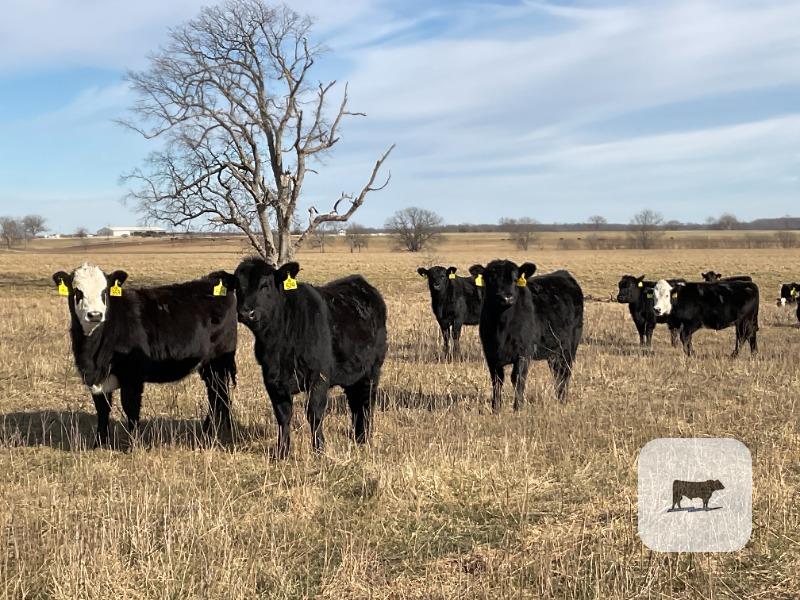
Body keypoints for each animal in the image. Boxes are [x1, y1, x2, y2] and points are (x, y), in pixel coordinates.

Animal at [51, 263, 237, 447]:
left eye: (104, 291)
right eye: (77, 291)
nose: (95, 315)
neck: (93, 354)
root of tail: (215, 277)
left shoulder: (133, 375)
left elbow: (130, 407)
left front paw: (134, 444)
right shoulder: (96, 379)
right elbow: (102, 408)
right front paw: (99, 443)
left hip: (219, 362)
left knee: (220, 394)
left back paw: (217, 430)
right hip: (208, 366)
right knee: (216, 394)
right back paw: (210, 430)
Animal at [212, 258, 387, 459]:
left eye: (265, 285)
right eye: (238, 287)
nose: (246, 313)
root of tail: (360, 283)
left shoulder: (318, 377)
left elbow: (314, 413)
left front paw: (319, 450)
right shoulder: (272, 380)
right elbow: (283, 416)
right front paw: (281, 452)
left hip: (372, 370)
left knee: (367, 403)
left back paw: (365, 438)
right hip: (353, 374)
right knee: (355, 403)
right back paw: (358, 437)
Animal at [469, 260, 583, 411]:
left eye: (515, 279)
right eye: (491, 279)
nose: (506, 297)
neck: (501, 327)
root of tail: (563, 274)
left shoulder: (524, 352)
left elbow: (518, 377)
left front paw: (518, 407)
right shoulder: (490, 353)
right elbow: (497, 379)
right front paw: (496, 408)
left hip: (569, 347)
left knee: (565, 372)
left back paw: (562, 400)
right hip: (553, 352)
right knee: (556, 373)